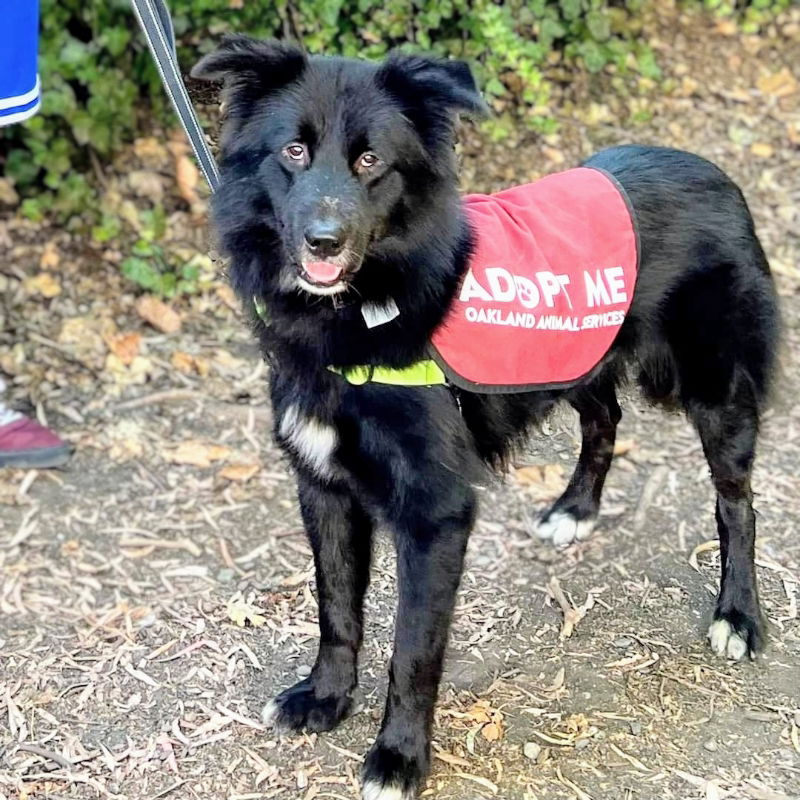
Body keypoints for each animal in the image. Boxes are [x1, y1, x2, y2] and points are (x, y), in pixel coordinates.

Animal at [192, 36, 776, 800]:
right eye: (292, 152)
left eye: (371, 162)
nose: (323, 241)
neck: (365, 308)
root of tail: (717, 174)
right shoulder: (322, 488)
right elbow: (336, 610)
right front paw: (325, 698)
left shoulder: (434, 514)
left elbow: (413, 651)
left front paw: (399, 756)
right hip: (572, 353)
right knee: (605, 419)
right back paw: (574, 510)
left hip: (716, 390)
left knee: (737, 504)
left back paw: (737, 614)